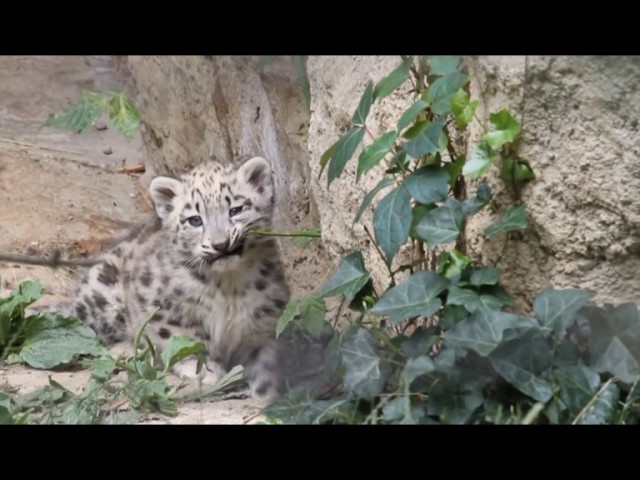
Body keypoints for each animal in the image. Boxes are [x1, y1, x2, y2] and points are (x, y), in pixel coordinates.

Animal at [35, 156, 293, 400]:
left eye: (236, 210)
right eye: (195, 220)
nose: (221, 244)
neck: (229, 286)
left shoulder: (264, 318)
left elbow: (264, 359)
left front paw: (268, 391)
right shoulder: (164, 308)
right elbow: (185, 339)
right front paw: (205, 372)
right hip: (103, 298)